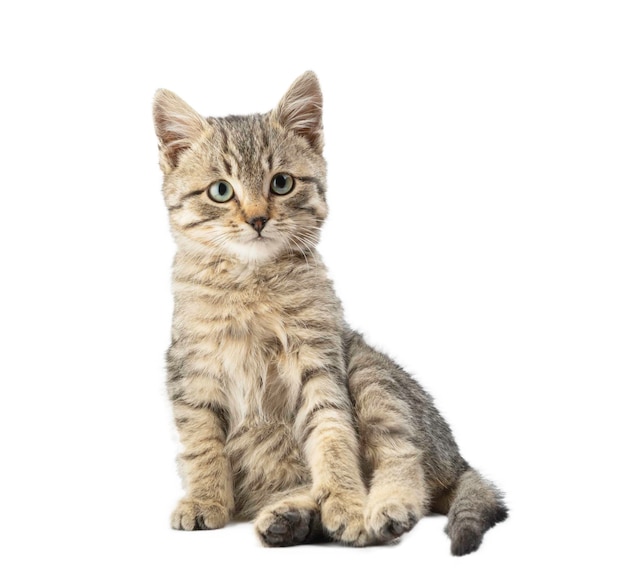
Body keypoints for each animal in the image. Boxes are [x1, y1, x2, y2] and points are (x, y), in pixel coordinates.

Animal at [152, 70, 508, 556]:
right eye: (221, 191)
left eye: (281, 183)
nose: (258, 219)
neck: (252, 284)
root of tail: (457, 460)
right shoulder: (192, 371)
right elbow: (201, 442)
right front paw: (205, 498)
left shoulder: (320, 364)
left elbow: (333, 436)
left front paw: (346, 502)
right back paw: (291, 519)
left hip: (370, 375)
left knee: (405, 461)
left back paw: (384, 510)